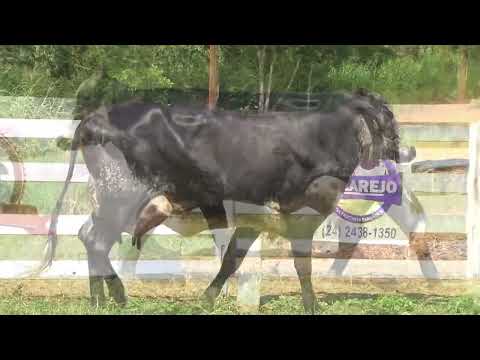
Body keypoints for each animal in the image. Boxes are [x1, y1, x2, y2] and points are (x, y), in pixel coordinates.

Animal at [35, 89, 400, 312]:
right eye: (389, 120)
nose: (400, 151)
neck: (323, 140)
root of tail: (95, 117)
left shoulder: (257, 219)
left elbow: (232, 259)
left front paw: (207, 299)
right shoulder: (302, 216)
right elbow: (302, 265)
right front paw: (311, 305)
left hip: (107, 200)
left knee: (88, 236)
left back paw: (100, 298)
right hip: (121, 196)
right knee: (96, 240)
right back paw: (116, 295)